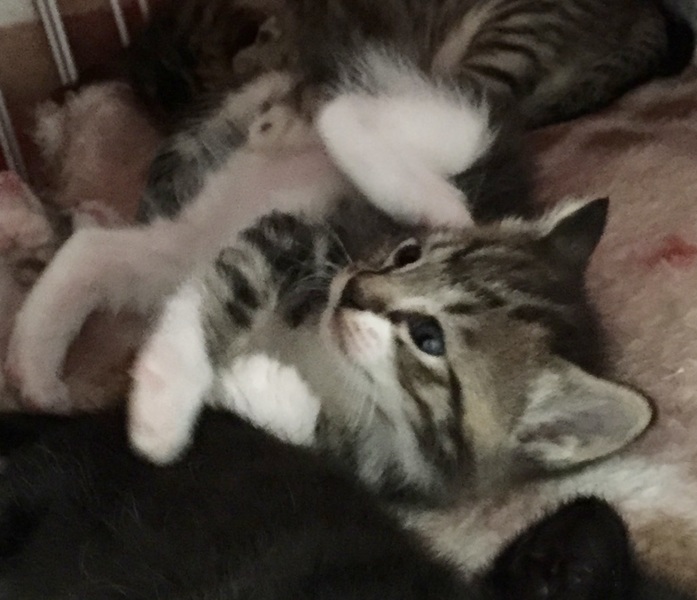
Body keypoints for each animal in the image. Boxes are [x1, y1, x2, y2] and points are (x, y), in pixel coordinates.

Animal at [128, 198, 652, 505]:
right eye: (407, 255)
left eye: (428, 338)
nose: (352, 288)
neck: (332, 363)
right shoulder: (302, 237)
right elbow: (227, 282)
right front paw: (161, 405)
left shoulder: (394, 472)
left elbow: (328, 446)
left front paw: (263, 387)